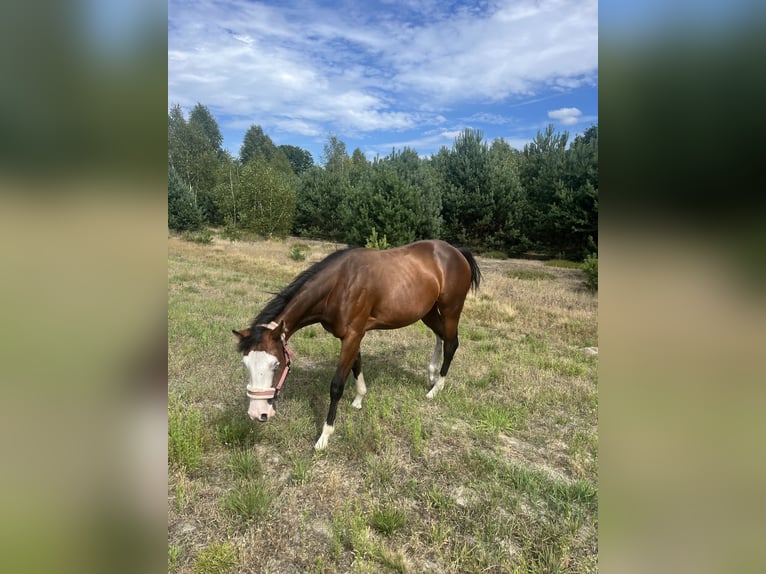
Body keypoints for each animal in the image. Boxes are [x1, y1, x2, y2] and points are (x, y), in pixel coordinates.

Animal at [232, 239, 482, 450]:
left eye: (276, 364)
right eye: (246, 365)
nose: (257, 413)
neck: (339, 284)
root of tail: (456, 251)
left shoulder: (353, 335)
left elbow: (337, 385)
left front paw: (325, 436)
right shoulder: (353, 335)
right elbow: (357, 365)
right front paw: (360, 399)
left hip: (451, 310)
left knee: (451, 343)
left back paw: (436, 388)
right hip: (427, 311)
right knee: (440, 337)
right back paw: (431, 375)